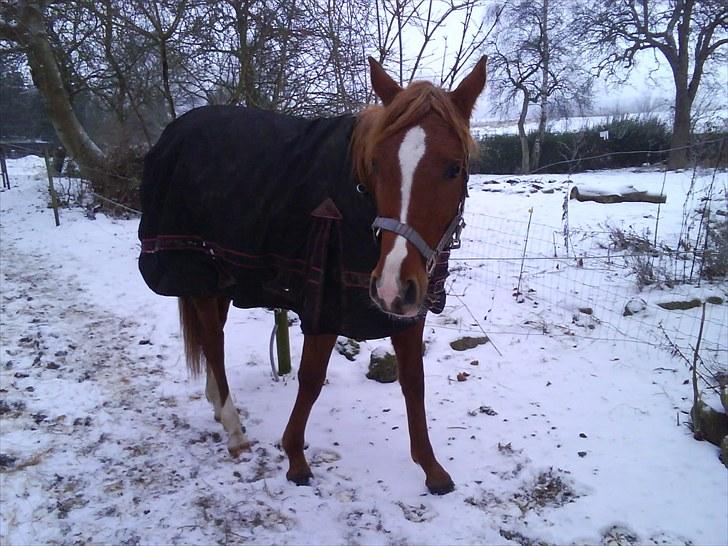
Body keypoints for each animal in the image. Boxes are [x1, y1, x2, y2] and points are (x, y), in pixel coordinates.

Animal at [139, 56, 486, 492]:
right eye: (377, 164)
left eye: (454, 168)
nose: (390, 285)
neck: (354, 197)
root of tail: (174, 133)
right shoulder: (326, 305)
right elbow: (310, 377)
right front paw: (295, 458)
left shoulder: (409, 311)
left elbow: (413, 382)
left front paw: (432, 469)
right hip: (198, 271)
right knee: (214, 344)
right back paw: (234, 429)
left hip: (220, 277)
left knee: (209, 335)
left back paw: (218, 405)